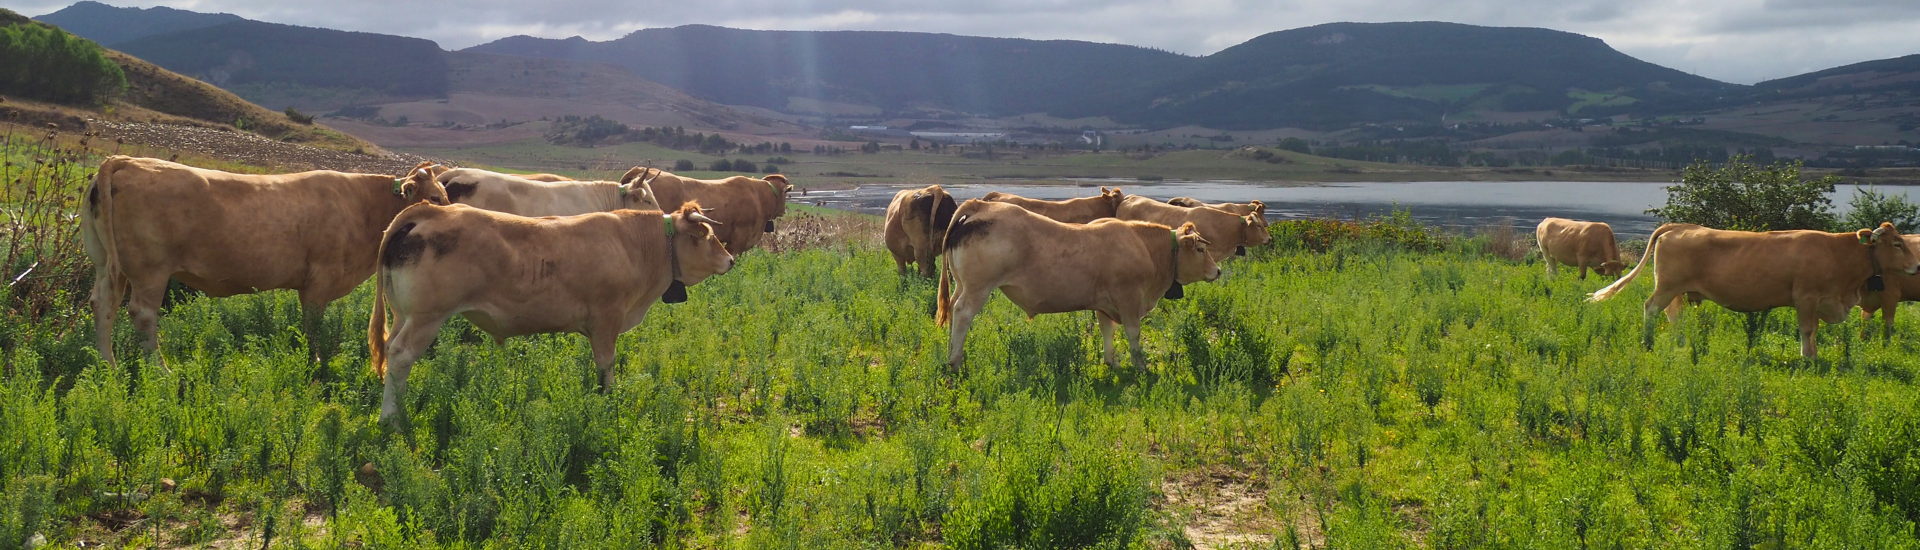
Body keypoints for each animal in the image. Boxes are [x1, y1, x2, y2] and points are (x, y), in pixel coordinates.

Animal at [82, 156, 450, 366]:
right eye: (433, 197)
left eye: (445, 195)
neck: (364, 207)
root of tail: (127, 160)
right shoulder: (320, 278)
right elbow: (312, 325)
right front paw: (314, 363)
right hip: (150, 270)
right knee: (142, 315)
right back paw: (160, 370)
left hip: (105, 263)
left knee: (103, 304)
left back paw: (107, 365)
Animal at [367, 203, 733, 428]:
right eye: (707, 237)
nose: (730, 260)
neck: (635, 245)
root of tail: (431, 211)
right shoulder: (607, 319)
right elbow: (606, 365)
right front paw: (607, 400)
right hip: (426, 318)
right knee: (401, 356)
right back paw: (392, 418)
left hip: (402, 315)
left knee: (390, 350)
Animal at [935, 200, 1221, 369]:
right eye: (1199, 249)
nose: (1217, 270)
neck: (1144, 246)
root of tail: (981, 205)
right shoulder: (1129, 299)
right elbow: (1133, 333)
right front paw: (1140, 367)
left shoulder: (1104, 304)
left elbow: (1107, 331)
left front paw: (1112, 363)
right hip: (978, 289)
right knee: (962, 314)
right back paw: (955, 362)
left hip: (962, 285)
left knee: (952, 310)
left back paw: (949, 353)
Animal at [1588, 223, 1920, 359]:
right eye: (1897, 243)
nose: (1917, 266)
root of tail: (1679, 226)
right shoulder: (1806, 297)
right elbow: (1807, 329)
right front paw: (1808, 358)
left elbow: (1811, 330)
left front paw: (1812, 355)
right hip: (1667, 287)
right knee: (1650, 308)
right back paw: (1648, 344)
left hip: (1676, 290)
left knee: (1673, 316)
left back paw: (1679, 343)